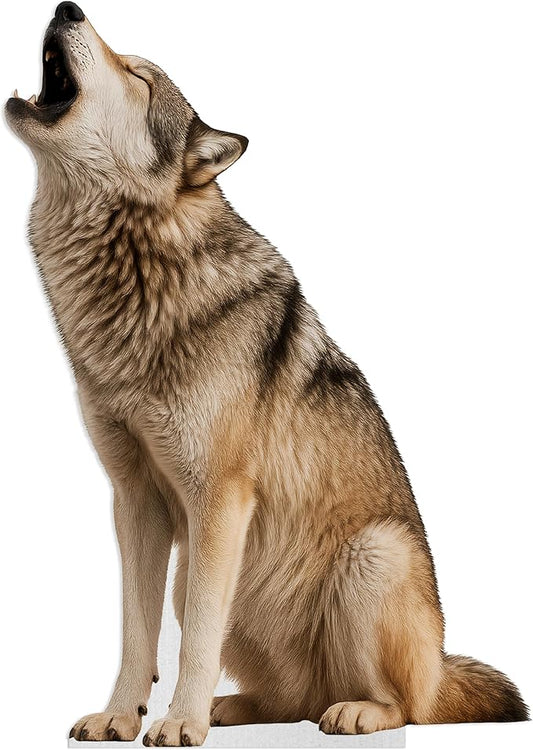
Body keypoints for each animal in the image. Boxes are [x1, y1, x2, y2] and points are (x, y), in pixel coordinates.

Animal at [5, 2, 528, 746]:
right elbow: (136, 634)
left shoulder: (218, 501)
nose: (67, 8)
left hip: (372, 557)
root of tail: (440, 664)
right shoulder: (135, 501)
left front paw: (178, 723)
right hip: (209, 580)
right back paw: (235, 708)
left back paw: (353, 711)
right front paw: (120, 715)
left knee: (404, 705)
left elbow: (195, 638)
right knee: (290, 697)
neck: (139, 269)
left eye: (138, 76)